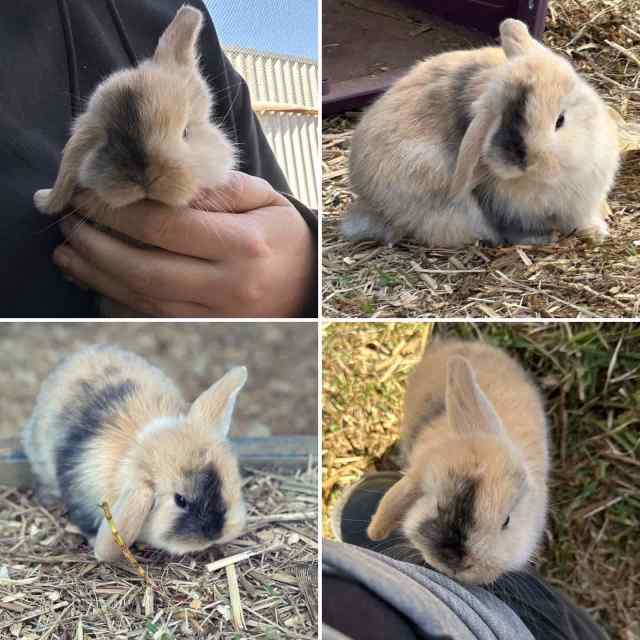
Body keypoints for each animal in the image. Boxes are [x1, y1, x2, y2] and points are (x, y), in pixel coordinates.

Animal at [343, 19, 620, 248]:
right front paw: (544, 238)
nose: (520, 161)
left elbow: (581, 219)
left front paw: (597, 233)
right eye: (498, 114)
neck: (549, 180)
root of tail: (369, 201)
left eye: (560, 120)